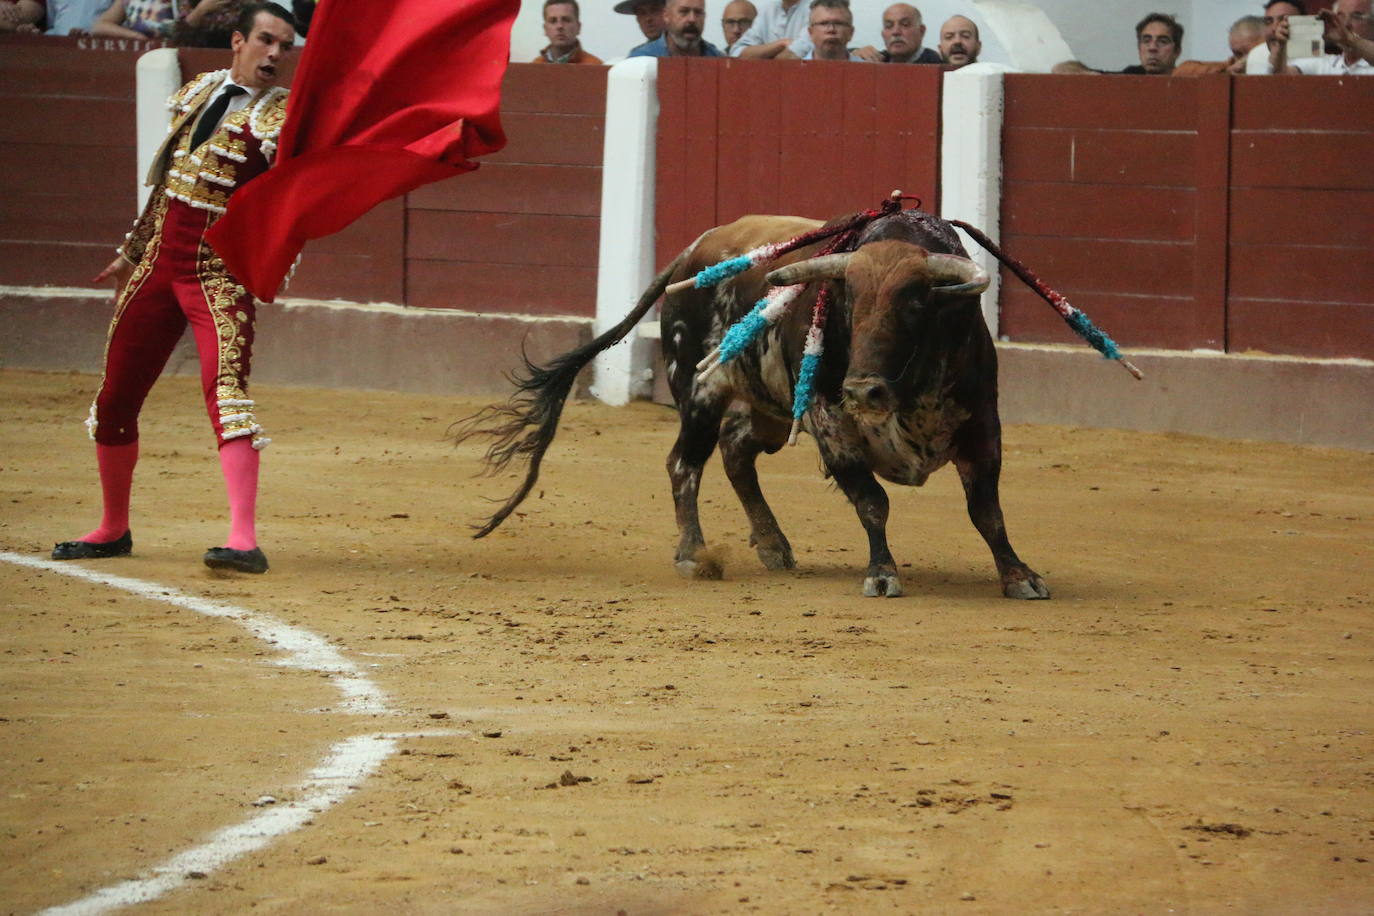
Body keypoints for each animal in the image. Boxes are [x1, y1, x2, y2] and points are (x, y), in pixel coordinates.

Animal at [461, 207, 1049, 601]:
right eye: (848, 301)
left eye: (916, 302)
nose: (863, 390)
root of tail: (692, 252)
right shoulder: (830, 421)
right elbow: (872, 502)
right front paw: (882, 573)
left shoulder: (982, 424)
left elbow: (987, 511)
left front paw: (1020, 575)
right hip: (697, 390)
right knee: (685, 462)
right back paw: (693, 555)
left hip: (765, 410)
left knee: (736, 452)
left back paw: (771, 544)